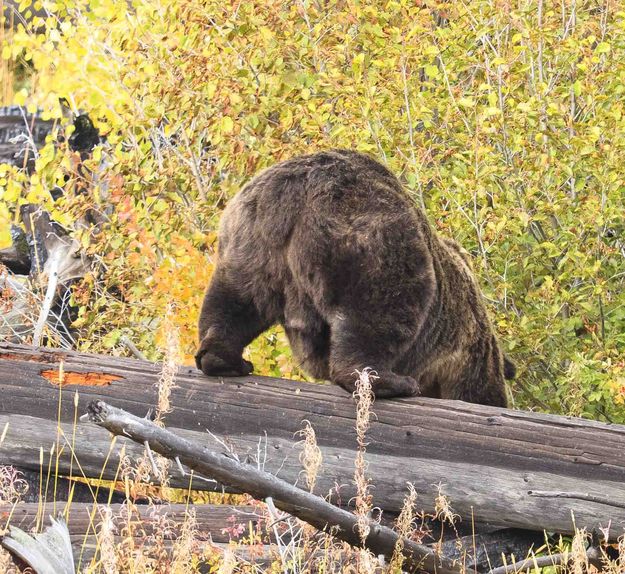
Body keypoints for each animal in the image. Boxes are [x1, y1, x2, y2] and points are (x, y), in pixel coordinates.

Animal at [196, 151, 512, 408]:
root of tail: (295, 192)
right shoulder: (470, 350)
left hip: (250, 238)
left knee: (234, 299)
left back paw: (224, 359)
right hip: (368, 232)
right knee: (380, 309)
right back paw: (387, 381)